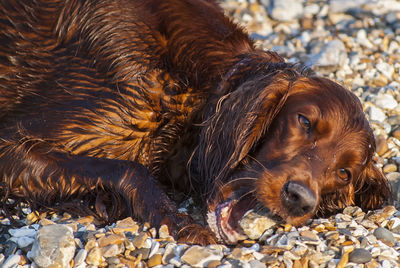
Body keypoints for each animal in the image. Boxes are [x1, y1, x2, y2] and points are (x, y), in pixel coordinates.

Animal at [0, 0, 390, 244]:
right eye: (305, 121)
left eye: (344, 173)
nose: (299, 199)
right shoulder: (10, 143)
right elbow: (131, 169)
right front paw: (178, 222)